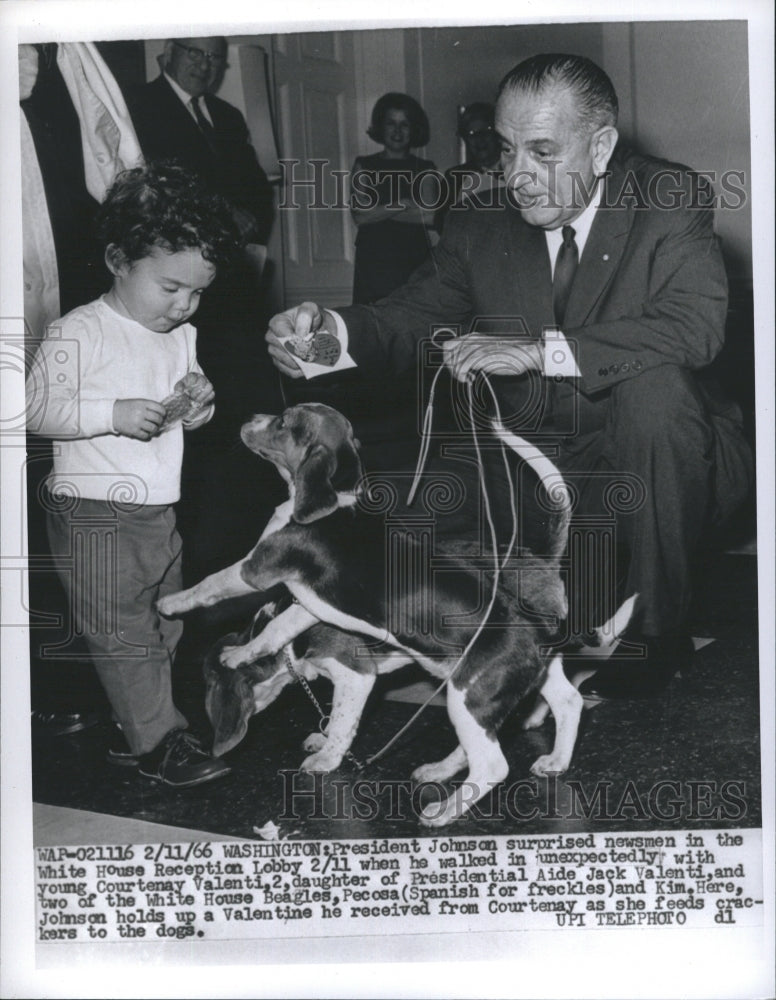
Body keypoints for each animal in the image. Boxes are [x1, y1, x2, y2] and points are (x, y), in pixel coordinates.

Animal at [159, 402, 632, 824]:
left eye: (283, 422)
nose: (246, 418)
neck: (336, 496)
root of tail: (530, 619)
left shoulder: (260, 573)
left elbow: (211, 586)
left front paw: (171, 604)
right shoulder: (309, 603)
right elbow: (278, 627)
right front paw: (249, 653)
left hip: (468, 696)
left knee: (493, 764)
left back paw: (443, 812)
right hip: (510, 681)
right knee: (564, 703)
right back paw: (534, 762)